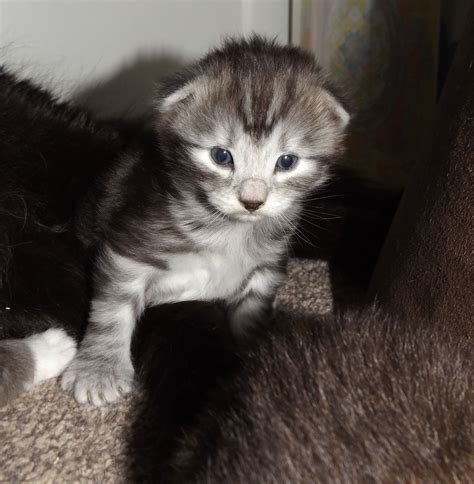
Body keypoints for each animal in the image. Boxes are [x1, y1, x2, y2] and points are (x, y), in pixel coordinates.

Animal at [58, 37, 348, 406]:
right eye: (221, 156)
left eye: (287, 161)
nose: (252, 202)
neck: (230, 231)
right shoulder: (131, 244)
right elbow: (112, 308)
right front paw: (99, 369)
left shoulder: (266, 269)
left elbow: (252, 316)